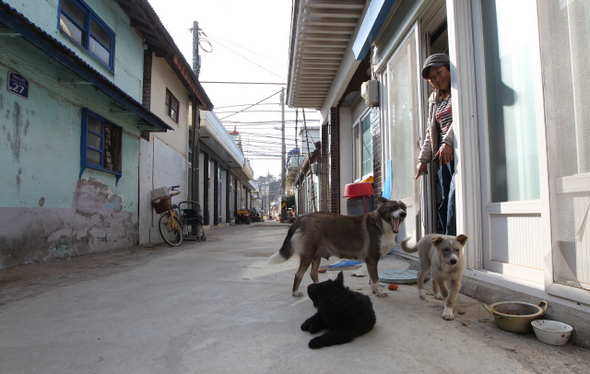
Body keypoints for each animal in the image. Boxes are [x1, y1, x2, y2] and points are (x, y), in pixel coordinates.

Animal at [268, 197, 408, 296]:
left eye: (404, 208)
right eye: (393, 207)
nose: (403, 214)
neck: (381, 224)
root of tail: (301, 219)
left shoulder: (372, 261)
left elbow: (372, 278)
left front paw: (374, 290)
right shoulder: (372, 259)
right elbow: (376, 279)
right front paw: (379, 292)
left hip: (316, 255)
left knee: (313, 273)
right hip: (308, 255)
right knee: (299, 274)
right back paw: (295, 292)